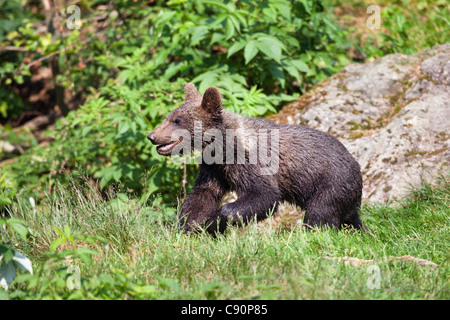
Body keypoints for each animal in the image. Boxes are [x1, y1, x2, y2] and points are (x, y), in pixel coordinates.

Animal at [149, 82, 366, 232]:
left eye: (177, 120)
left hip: (330, 184)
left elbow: (264, 195)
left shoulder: (252, 161)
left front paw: (214, 221)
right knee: (351, 219)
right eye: (169, 117)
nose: (152, 136)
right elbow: (204, 193)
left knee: (320, 214)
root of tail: (357, 165)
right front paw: (188, 226)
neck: (223, 146)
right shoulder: (214, 167)